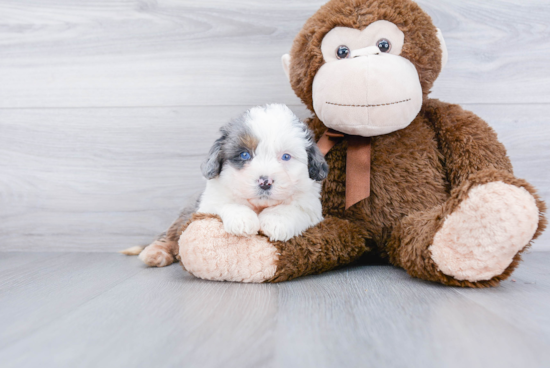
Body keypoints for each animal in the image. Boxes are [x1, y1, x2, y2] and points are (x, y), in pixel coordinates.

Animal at [197, 103, 328, 242]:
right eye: (244, 155)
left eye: (286, 156)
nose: (265, 182)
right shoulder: (208, 204)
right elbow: (224, 203)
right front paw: (242, 219)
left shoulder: (311, 206)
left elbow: (294, 208)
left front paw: (275, 220)